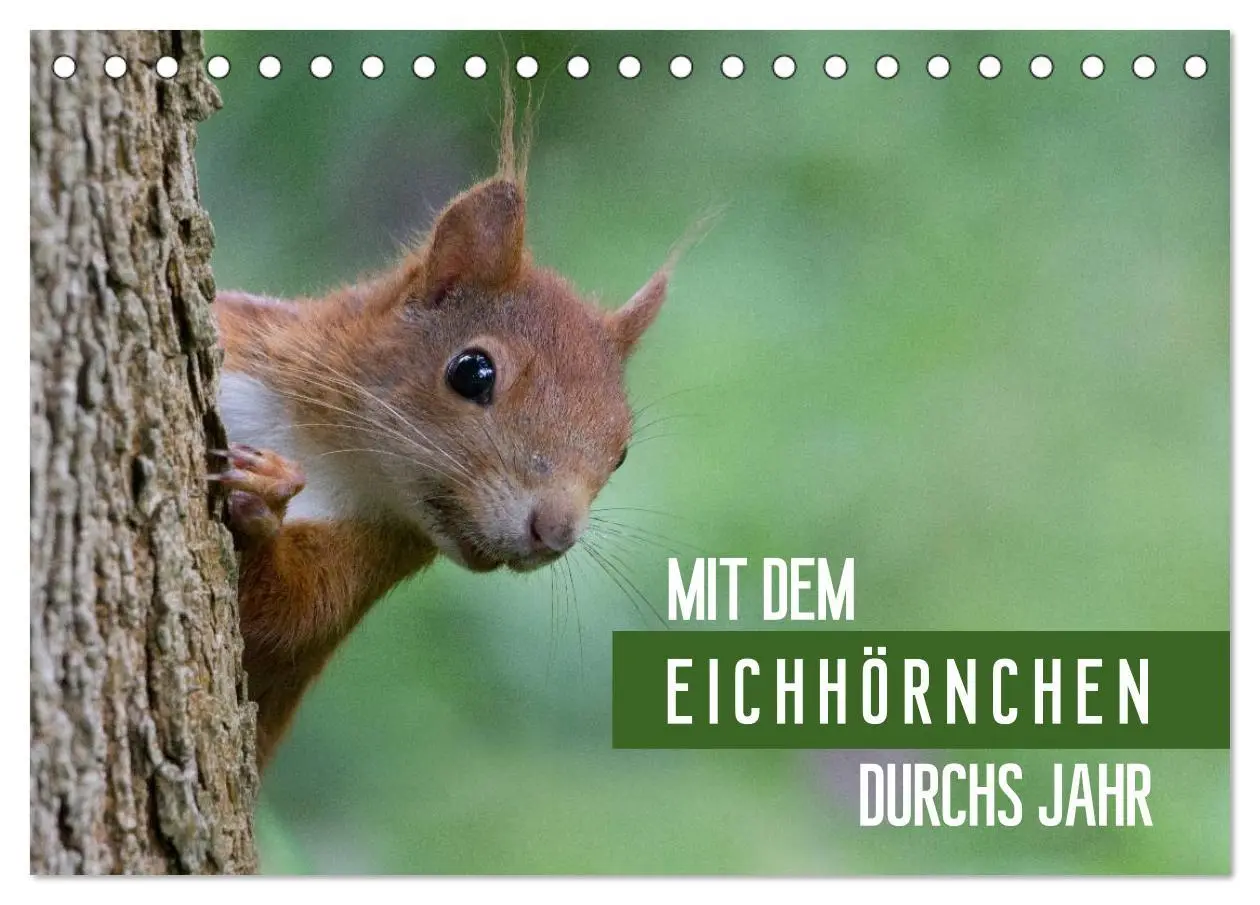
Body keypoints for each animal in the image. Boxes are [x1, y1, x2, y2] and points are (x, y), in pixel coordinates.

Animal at [210, 91, 673, 768]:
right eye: (472, 371)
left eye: (621, 453)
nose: (556, 532)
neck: (323, 446)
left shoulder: (368, 558)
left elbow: (279, 619)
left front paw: (265, 499)